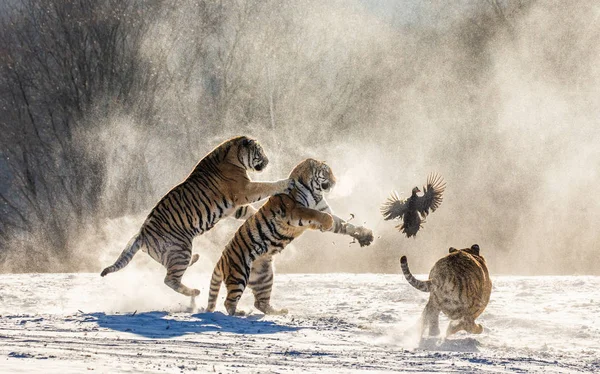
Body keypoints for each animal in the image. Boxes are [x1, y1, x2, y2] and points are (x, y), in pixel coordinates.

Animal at [99, 137, 294, 298]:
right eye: (260, 152)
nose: (267, 161)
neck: (234, 156)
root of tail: (141, 233)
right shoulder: (244, 190)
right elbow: (266, 186)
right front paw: (286, 182)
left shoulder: (234, 207)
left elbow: (249, 211)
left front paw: (258, 220)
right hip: (181, 249)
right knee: (170, 279)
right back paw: (194, 291)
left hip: (174, 253)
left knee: (171, 271)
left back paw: (196, 260)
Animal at [209, 158, 372, 316]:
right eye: (327, 172)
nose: (335, 181)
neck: (316, 193)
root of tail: (221, 258)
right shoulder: (295, 210)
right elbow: (315, 213)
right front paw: (328, 222)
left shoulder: (321, 211)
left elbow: (345, 225)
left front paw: (365, 235)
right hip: (239, 273)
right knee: (229, 302)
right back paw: (239, 313)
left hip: (264, 277)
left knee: (260, 303)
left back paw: (278, 312)